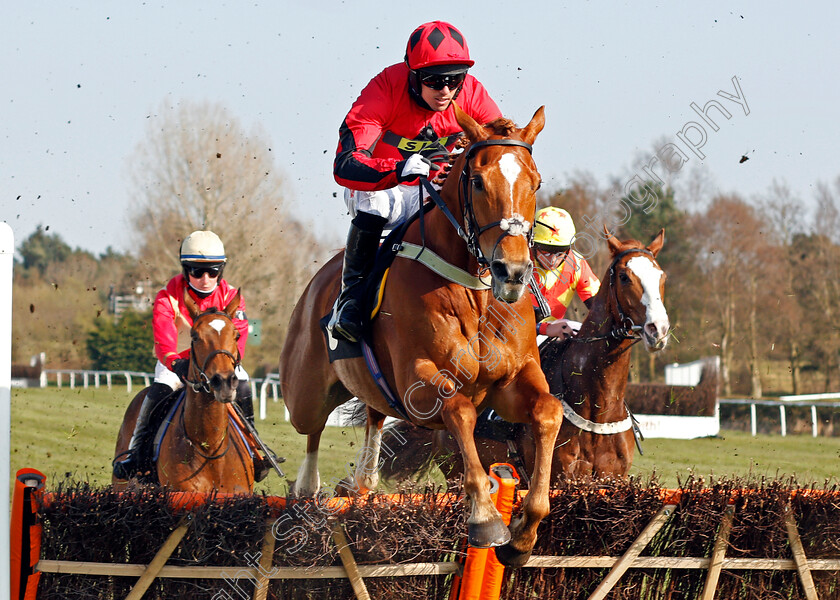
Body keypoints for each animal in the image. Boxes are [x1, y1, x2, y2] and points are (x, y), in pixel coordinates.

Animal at [282, 104, 564, 568]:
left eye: (536, 182)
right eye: (478, 181)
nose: (513, 272)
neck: (476, 291)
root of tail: (316, 284)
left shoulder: (511, 381)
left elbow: (548, 410)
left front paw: (524, 533)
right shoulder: (419, 379)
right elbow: (460, 411)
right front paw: (485, 518)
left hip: (371, 391)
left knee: (373, 417)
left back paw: (359, 482)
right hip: (304, 393)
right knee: (313, 428)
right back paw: (308, 489)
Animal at [374, 229, 668, 482]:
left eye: (662, 277)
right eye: (624, 277)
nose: (658, 329)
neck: (597, 408)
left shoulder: (610, 480)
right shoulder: (560, 479)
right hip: (456, 470)